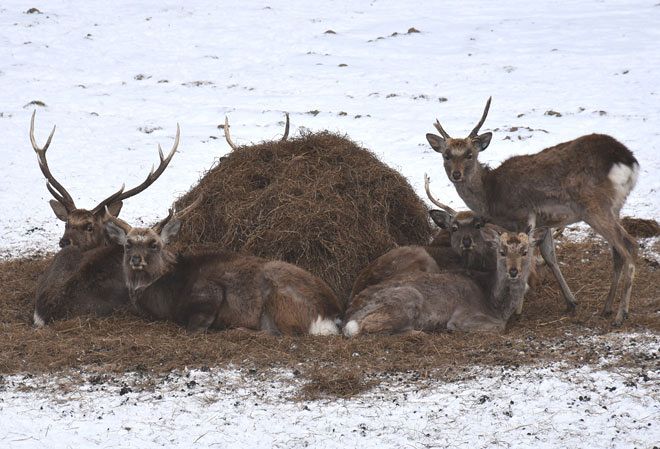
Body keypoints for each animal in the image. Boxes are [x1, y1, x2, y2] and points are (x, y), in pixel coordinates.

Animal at [105, 201, 342, 334]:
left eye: (154, 244)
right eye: (128, 244)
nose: (136, 259)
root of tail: (329, 315)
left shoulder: (209, 292)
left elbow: (193, 329)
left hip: (280, 300)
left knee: (283, 334)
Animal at [342, 224, 544, 336]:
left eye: (525, 251)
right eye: (501, 252)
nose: (513, 271)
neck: (495, 304)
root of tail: (347, 316)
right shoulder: (463, 315)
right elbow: (499, 327)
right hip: (407, 296)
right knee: (364, 327)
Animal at [426, 98, 636, 324]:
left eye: (469, 154)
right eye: (446, 155)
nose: (456, 174)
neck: (491, 197)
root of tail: (627, 160)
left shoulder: (523, 215)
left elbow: (527, 253)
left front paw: (517, 309)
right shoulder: (546, 222)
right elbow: (550, 257)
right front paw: (571, 302)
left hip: (594, 206)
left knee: (629, 245)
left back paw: (621, 313)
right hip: (615, 206)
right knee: (618, 251)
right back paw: (607, 307)